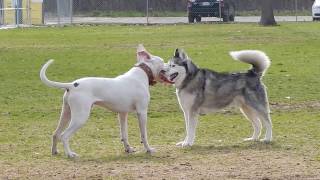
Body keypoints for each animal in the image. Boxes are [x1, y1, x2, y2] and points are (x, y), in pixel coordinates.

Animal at [39, 44, 168, 158]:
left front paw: (128, 149)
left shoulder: (122, 114)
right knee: (64, 135)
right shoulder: (142, 112)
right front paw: (148, 149)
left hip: (66, 113)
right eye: (163, 61)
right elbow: (144, 135)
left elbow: (124, 134)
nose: (170, 65)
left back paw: (55, 152)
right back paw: (70, 154)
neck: (142, 73)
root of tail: (72, 85)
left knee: (55, 134)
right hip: (80, 117)